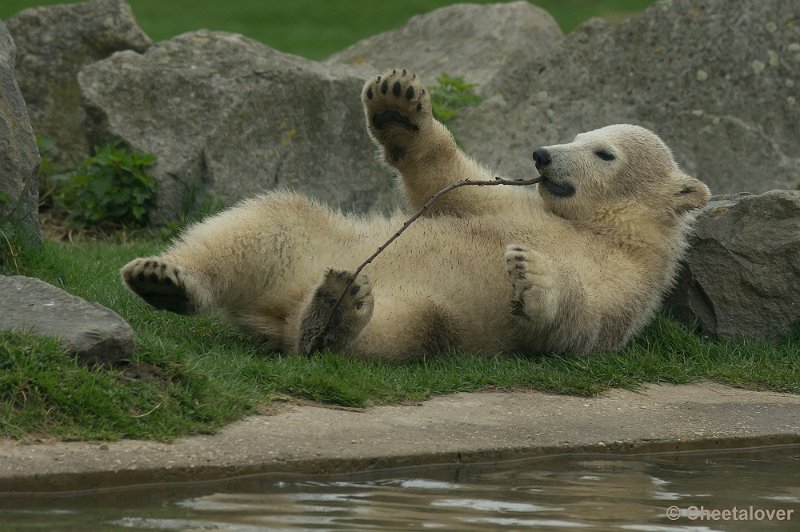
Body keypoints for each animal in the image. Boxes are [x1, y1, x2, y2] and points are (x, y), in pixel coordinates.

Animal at [122, 68, 708, 362]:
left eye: (605, 153)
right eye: (577, 135)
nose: (542, 155)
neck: (599, 230)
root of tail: (277, 303)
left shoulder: (633, 286)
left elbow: (581, 326)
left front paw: (532, 271)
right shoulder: (514, 207)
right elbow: (447, 181)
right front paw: (397, 108)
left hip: (427, 304)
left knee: (409, 327)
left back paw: (333, 315)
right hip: (316, 241)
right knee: (267, 223)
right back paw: (165, 277)